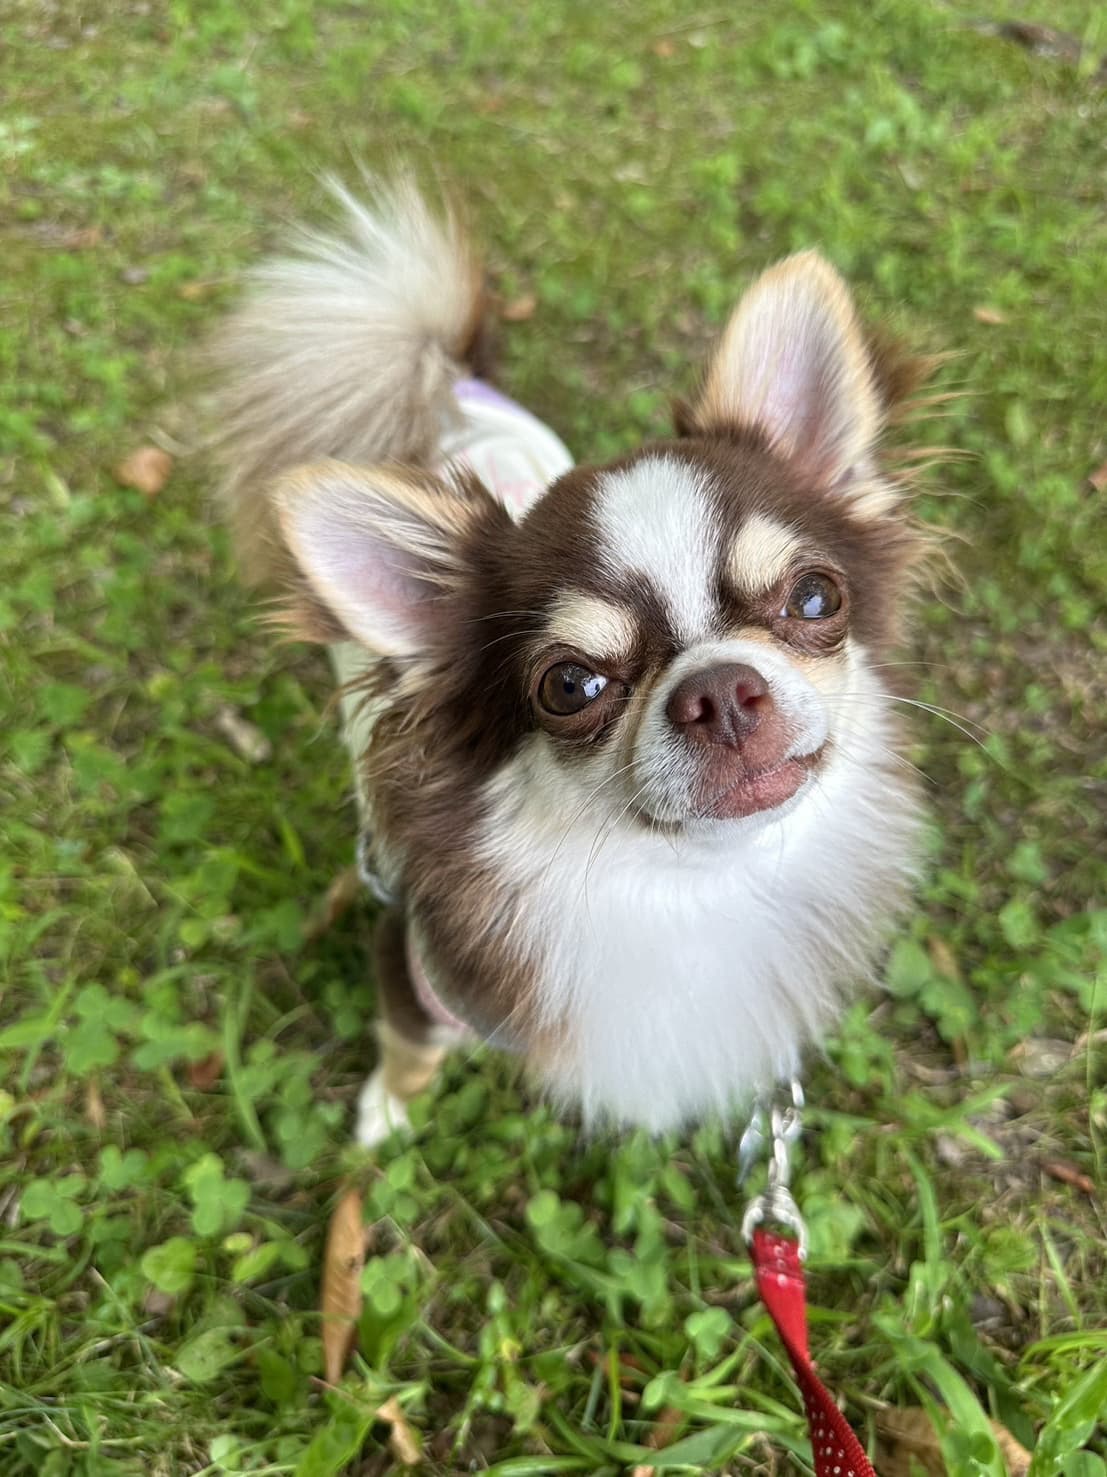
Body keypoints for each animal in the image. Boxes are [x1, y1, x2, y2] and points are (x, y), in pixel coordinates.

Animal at [209, 169, 934, 1140]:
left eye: (815, 598)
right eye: (570, 685)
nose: (721, 690)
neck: (684, 894)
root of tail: (441, 381)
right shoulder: (418, 970)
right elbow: (407, 1045)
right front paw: (387, 1114)